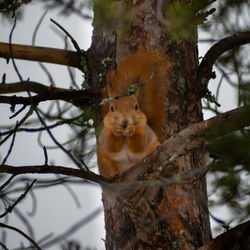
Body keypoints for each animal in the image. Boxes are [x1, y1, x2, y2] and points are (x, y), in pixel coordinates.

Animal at [97, 48, 170, 178]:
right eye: (111, 108)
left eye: (136, 107)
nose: (125, 121)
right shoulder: (105, 134)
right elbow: (111, 145)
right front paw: (116, 130)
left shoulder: (145, 131)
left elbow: (139, 144)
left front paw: (131, 129)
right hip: (104, 161)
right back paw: (113, 175)